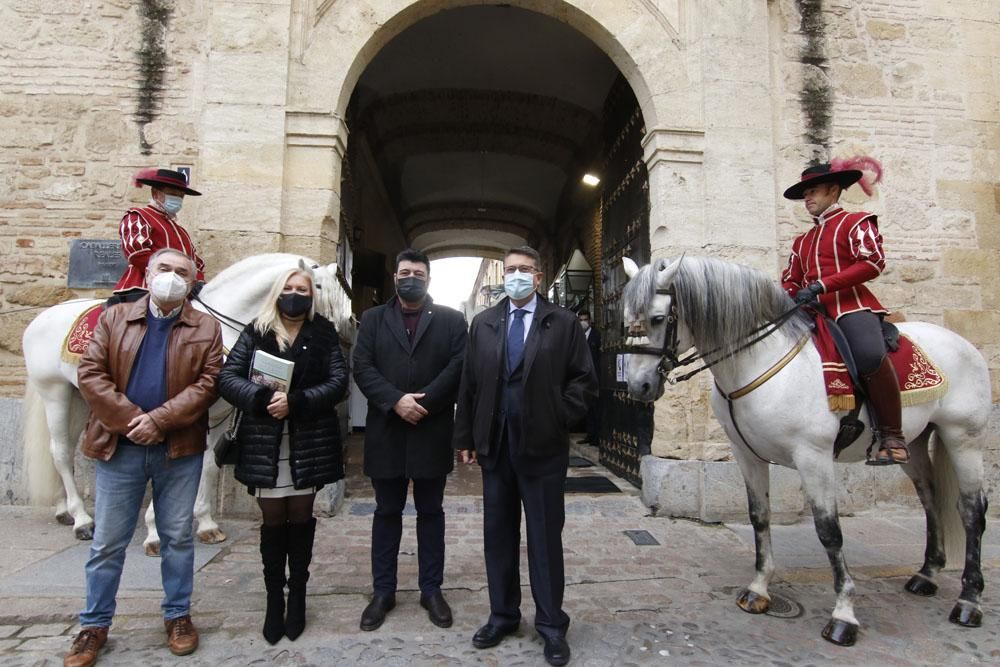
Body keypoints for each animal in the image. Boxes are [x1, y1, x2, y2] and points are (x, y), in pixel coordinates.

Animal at [22, 253, 344, 556]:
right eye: (315, 286)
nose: (343, 324)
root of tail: (39, 319)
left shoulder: (217, 414)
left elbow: (208, 464)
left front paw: (205, 523)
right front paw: (155, 532)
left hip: (79, 396)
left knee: (60, 449)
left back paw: (64, 509)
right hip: (55, 391)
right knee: (61, 451)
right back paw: (82, 520)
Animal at [620, 256, 988, 648]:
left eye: (658, 318)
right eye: (626, 318)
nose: (638, 386)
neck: (757, 361)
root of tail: (964, 344)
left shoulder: (813, 457)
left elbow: (829, 531)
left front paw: (844, 614)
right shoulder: (745, 454)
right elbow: (759, 517)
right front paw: (759, 589)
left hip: (963, 439)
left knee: (971, 511)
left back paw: (969, 601)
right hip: (915, 442)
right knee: (931, 498)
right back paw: (928, 574)